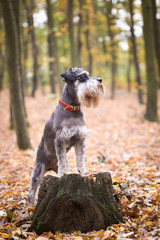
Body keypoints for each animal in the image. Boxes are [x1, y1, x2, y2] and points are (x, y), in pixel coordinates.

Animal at [28, 67, 104, 204]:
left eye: (88, 75)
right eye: (82, 77)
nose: (100, 79)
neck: (72, 108)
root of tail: (50, 166)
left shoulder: (80, 139)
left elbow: (80, 158)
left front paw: (83, 172)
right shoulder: (60, 140)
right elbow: (62, 160)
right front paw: (62, 175)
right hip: (38, 169)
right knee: (32, 190)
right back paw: (31, 205)